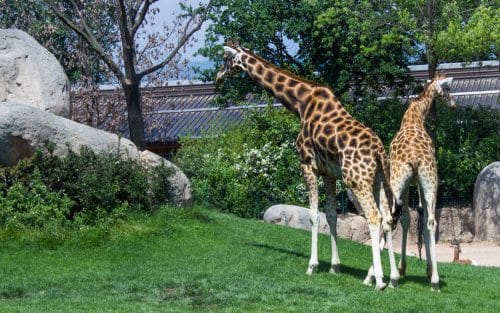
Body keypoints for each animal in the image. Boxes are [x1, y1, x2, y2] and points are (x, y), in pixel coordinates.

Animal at [217, 40, 400, 288]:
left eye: (225, 59)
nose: (218, 76)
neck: (300, 105)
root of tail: (380, 152)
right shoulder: (329, 172)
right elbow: (331, 215)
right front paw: (334, 267)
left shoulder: (307, 164)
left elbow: (314, 215)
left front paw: (312, 266)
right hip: (378, 180)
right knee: (388, 218)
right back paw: (392, 278)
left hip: (357, 179)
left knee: (374, 216)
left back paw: (378, 279)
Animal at [388, 73, 456, 290]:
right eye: (448, 89)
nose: (454, 104)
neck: (415, 116)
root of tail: (415, 157)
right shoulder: (417, 184)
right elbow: (417, 220)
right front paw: (425, 269)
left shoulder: (412, 185)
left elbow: (408, 220)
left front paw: (404, 268)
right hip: (430, 182)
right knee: (431, 222)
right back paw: (434, 280)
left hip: (402, 181)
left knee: (390, 217)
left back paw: (393, 277)